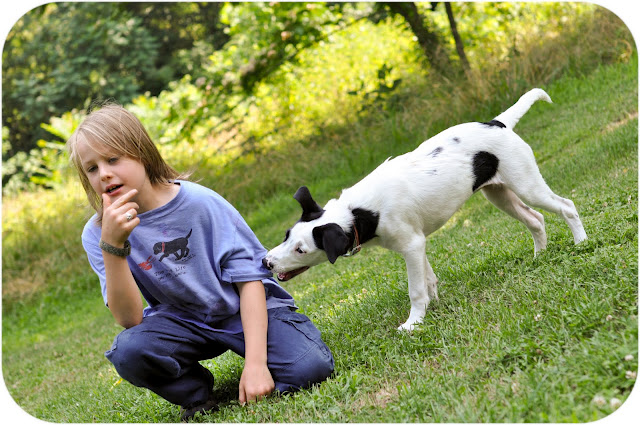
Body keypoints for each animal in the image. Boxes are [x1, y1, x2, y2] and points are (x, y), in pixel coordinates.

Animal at [262, 89, 587, 330]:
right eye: (286, 235)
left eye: (301, 250)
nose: (266, 262)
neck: (358, 211)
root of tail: (497, 123)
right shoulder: (417, 245)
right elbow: (429, 280)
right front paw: (434, 306)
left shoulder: (411, 245)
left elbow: (416, 290)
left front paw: (413, 323)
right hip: (499, 194)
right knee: (536, 219)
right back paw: (540, 255)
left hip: (527, 184)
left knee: (566, 207)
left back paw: (581, 243)